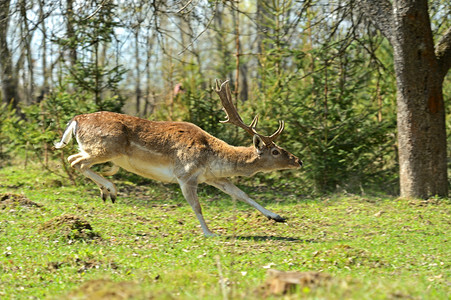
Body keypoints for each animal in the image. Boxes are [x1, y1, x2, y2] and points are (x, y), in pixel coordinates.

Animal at [55, 79, 304, 237]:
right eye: (275, 151)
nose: (299, 161)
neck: (212, 157)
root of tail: (76, 119)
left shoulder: (213, 178)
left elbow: (243, 194)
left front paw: (278, 216)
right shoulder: (185, 175)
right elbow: (197, 206)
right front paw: (209, 233)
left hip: (94, 148)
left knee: (73, 157)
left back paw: (106, 191)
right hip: (105, 148)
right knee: (76, 162)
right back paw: (111, 189)